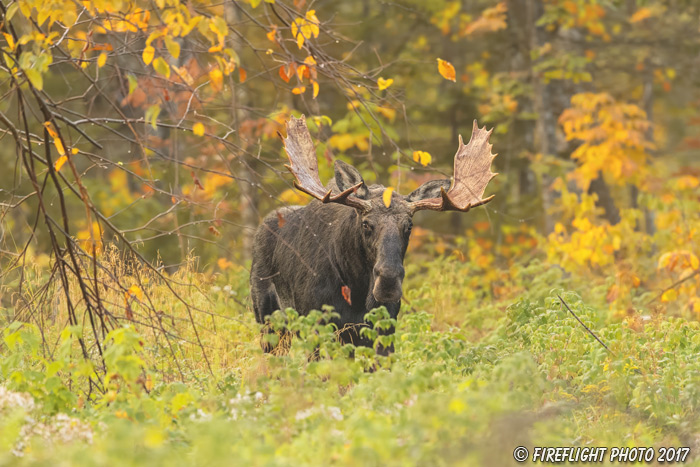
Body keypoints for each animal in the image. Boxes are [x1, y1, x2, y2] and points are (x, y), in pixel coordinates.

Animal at [252, 116, 498, 354]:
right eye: (366, 224)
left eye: (409, 225)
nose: (388, 281)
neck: (357, 291)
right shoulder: (316, 323)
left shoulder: (382, 327)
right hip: (267, 317)